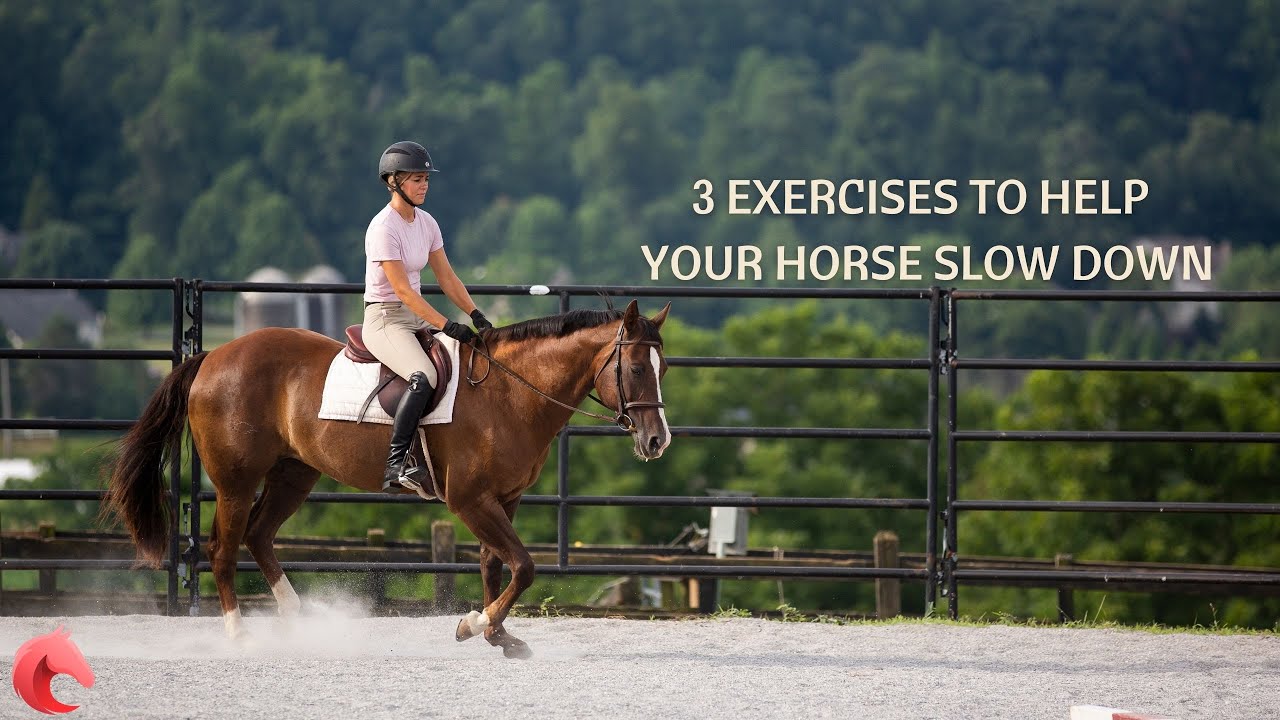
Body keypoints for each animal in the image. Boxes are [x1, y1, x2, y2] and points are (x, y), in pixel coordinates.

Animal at [101, 299, 671, 659]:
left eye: (662, 369)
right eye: (637, 370)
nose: (657, 441)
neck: (510, 392)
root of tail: (212, 356)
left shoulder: (503, 498)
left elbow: (498, 566)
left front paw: (497, 635)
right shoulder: (470, 500)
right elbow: (525, 567)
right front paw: (475, 625)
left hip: (294, 473)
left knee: (259, 536)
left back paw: (298, 621)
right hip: (236, 482)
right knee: (224, 548)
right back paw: (240, 634)